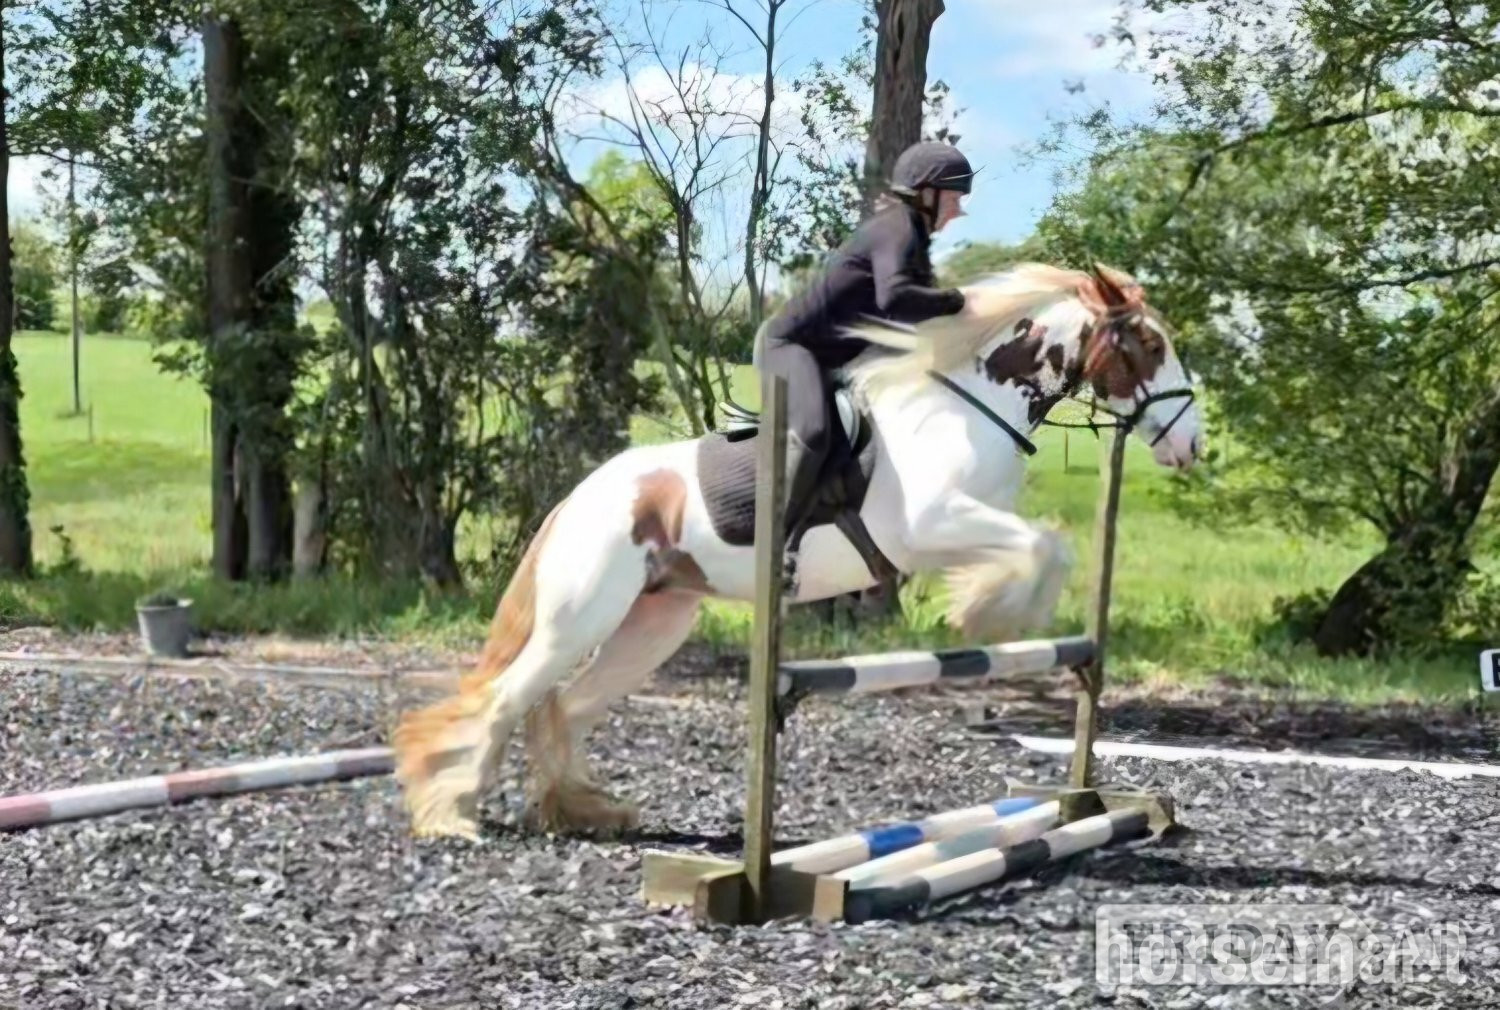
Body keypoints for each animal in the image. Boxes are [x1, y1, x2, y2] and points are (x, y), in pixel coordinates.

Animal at [391, 262, 1204, 840]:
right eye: (1151, 345)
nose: (1191, 445)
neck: (968, 404)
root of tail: (582, 497)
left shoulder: (967, 521)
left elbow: (1045, 543)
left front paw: (991, 609)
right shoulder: (931, 525)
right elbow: (1044, 545)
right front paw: (988, 615)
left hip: (655, 622)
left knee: (566, 705)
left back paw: (585, 811)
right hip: (582, 614)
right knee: (510, 698)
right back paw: (451, 816)